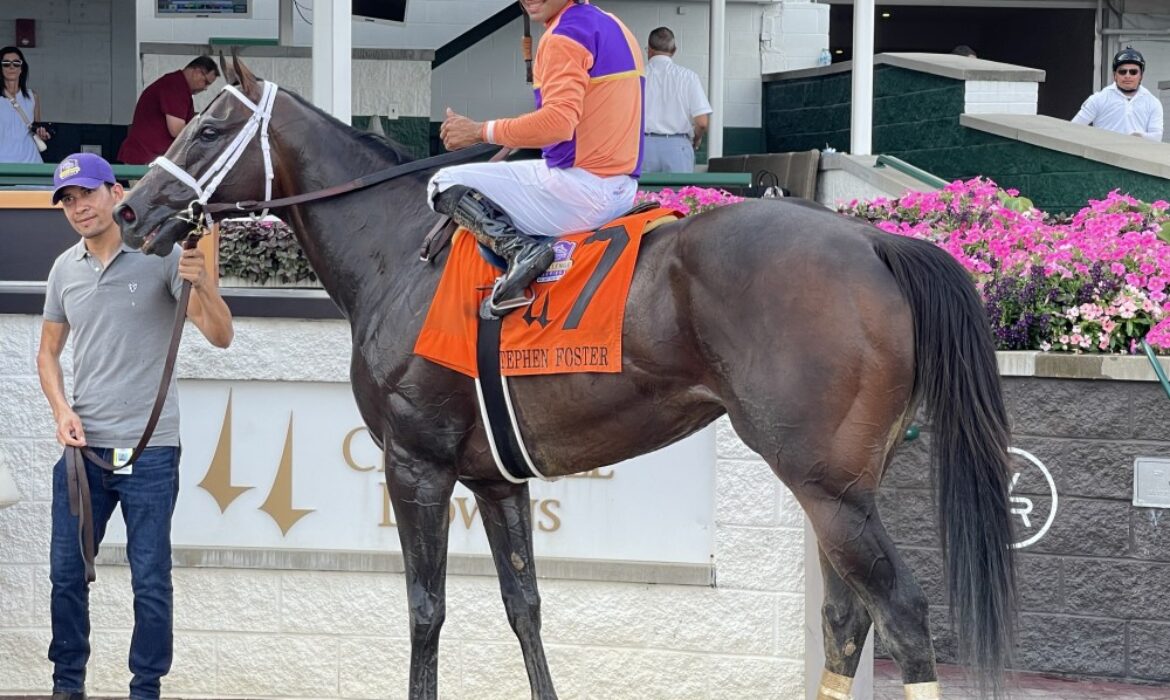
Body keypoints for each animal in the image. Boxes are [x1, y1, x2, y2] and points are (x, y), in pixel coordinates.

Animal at [116, 57, 1015, 697]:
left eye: (208, 130)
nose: (130, 211)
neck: (396, 251)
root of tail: (874, 240)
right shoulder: (496, 479)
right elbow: (526, 609)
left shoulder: (416, 465)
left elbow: (425, 611)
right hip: (841, 487)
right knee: (845, 618)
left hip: (827, 483)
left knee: (902, 614)